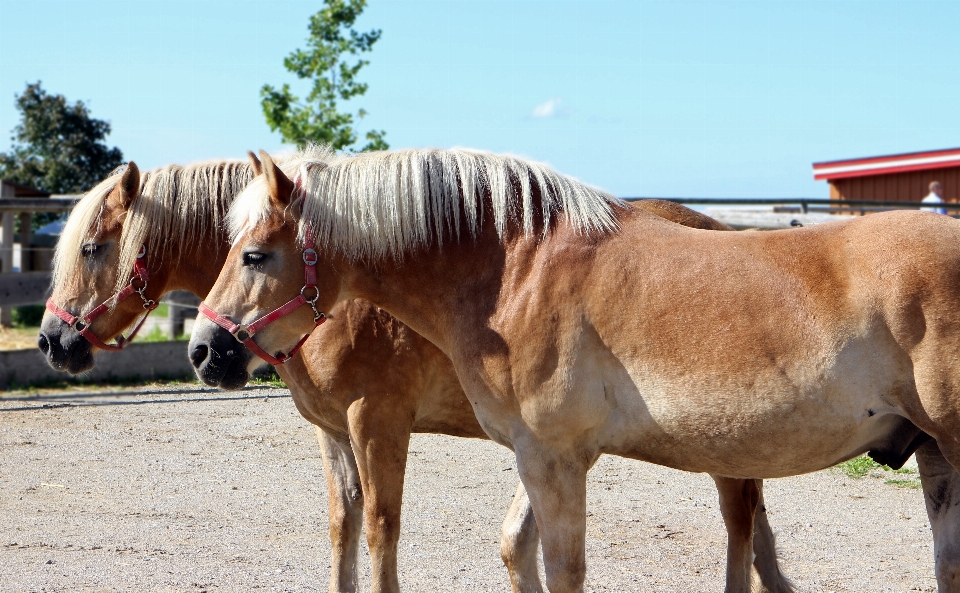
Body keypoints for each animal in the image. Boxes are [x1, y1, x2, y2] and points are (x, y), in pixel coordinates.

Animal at [37, 154, 792, 592]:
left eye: (93, 246)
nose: (51, 340)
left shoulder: (377, 420)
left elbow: (380, 528)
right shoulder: (332, 431)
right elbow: (343, 527)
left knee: (739, 519)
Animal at [191, 145, 960, 592]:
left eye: (255, 254)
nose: (205, 348)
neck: (516, 270)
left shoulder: (551, 457)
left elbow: (561, 569)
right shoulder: (541, 456)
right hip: (933, 459)